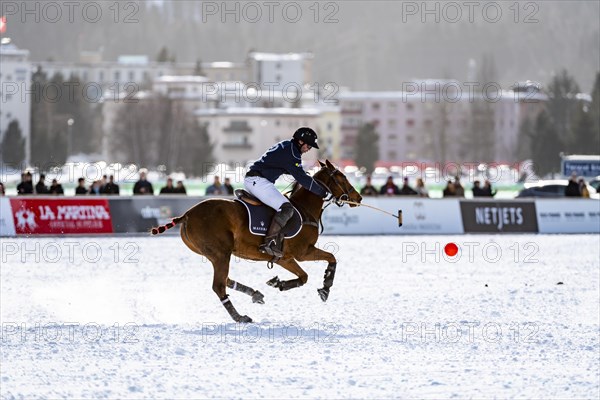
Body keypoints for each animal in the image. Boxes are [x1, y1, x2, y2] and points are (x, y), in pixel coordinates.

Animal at [152, 159, 364, 322]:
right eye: (342, 177)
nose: (359, 197)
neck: (305, 210)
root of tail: (187, 214)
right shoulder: (303, 251)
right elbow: (331, 258)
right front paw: (326, 287)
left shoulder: (285, 258)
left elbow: (304, 277)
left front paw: (279, 283)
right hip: (220, 254)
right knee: (219, 285)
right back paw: (240, 317)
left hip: (215, 254)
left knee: (225, 280)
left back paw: (255, 294)